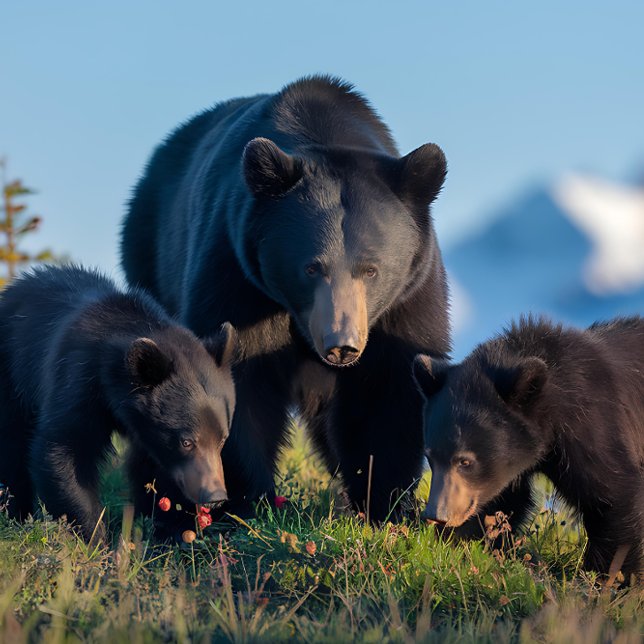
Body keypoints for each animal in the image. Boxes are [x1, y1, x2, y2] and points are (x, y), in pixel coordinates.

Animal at [0, 265, 237, 541]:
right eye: (186, 442)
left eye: (222, 439)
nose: (215, 496)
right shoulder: (78, 379)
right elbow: (64, 449)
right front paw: (94, 537)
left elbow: (153, 471)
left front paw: (169, 531)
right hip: (12, 374)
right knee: (12, 445)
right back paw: (15, 514)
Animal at [121, 75, 451, 521]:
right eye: (311, 268)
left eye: (371, 269)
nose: (342, 345)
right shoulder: (238, 273)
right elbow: (239, 380)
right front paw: (248, 501)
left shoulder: (406, 297)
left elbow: (390, 390)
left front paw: (386, 505)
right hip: (150, 258)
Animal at [413, 315, 644, 579]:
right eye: (430, 457)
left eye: (465, 461)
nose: (436, 515)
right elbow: (502, 502)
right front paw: (459, 544)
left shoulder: (593, 423)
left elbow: (612, 493)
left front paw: (611, 577)